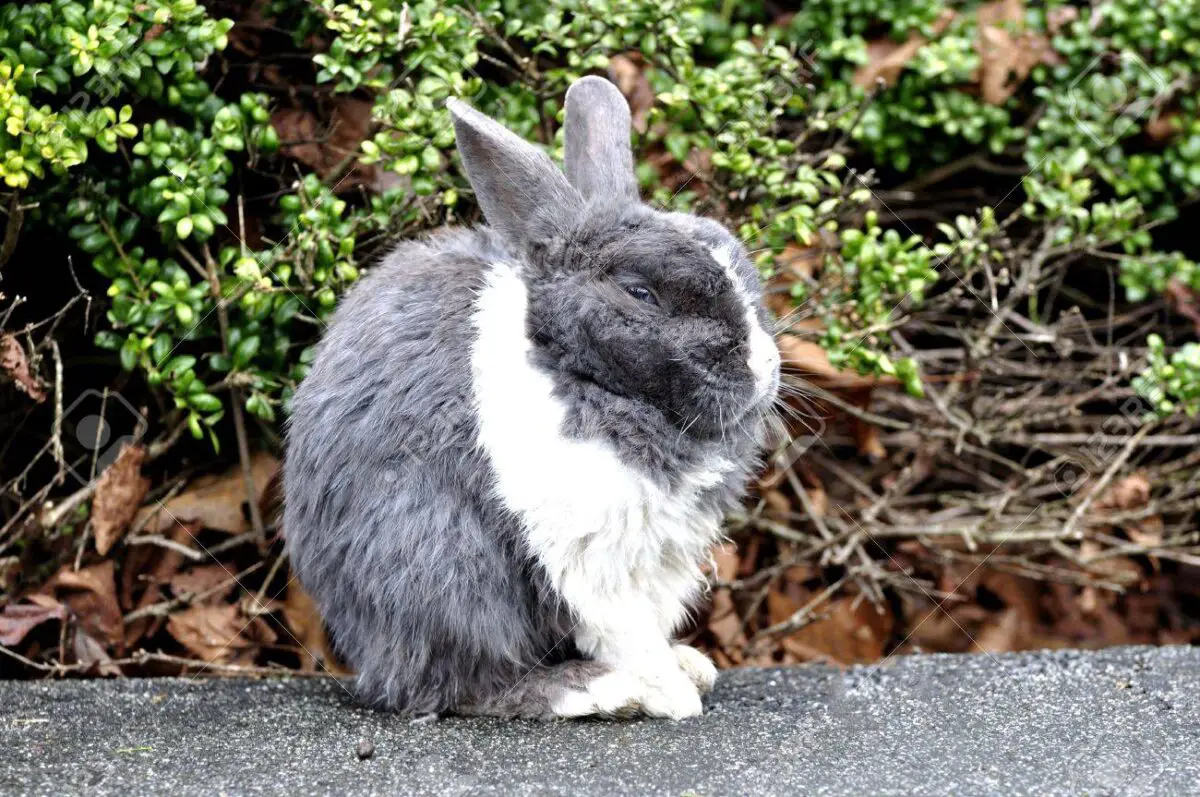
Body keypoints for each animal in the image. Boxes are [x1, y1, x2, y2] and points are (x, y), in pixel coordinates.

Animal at [282, 75, 781, 720]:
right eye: (640, 292)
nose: (764, 369)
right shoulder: (588, 553)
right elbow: (624, 633)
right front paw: (672, 697)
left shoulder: (656, 560)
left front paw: (684, 673)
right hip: (443, 568)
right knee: (460, 683)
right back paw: (598, 688)